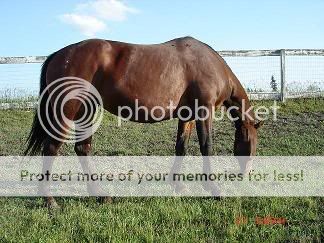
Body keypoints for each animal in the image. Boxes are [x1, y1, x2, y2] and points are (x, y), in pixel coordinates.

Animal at [24, 37, 262, 208]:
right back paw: (50, 201)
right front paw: (213, 189)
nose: (246, 175)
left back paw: (100, 195)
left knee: (83, 148)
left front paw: (177, 185)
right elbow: (206, 147)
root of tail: (59, 54)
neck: (210, 64)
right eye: (250, 146)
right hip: (67, 113)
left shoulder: (187, 115)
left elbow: (181, 147)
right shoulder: (204, 111)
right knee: (52, 148)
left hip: (88, 112)